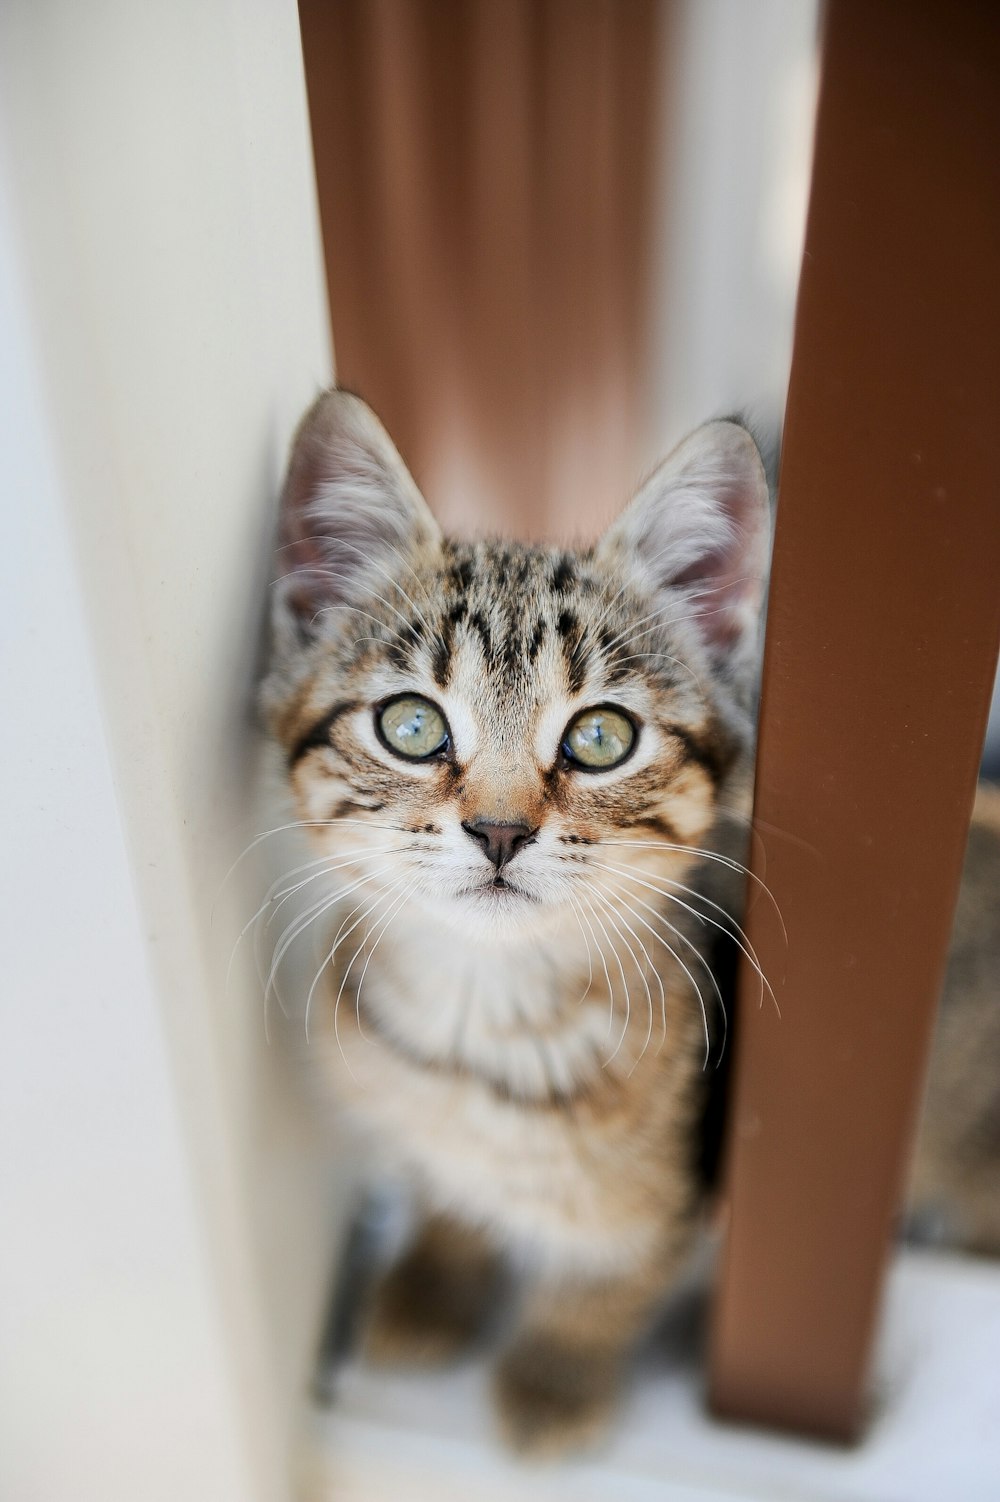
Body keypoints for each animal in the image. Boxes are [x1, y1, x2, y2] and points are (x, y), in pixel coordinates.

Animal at [258, 387, 768, 1453]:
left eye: (601, 736)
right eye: (411, 725)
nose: (499, 830)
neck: (484, 1018)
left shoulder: (696, 1173)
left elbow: (619, 1269)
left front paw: (556, 1370)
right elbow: (442, 1182)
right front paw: (435, 1280)